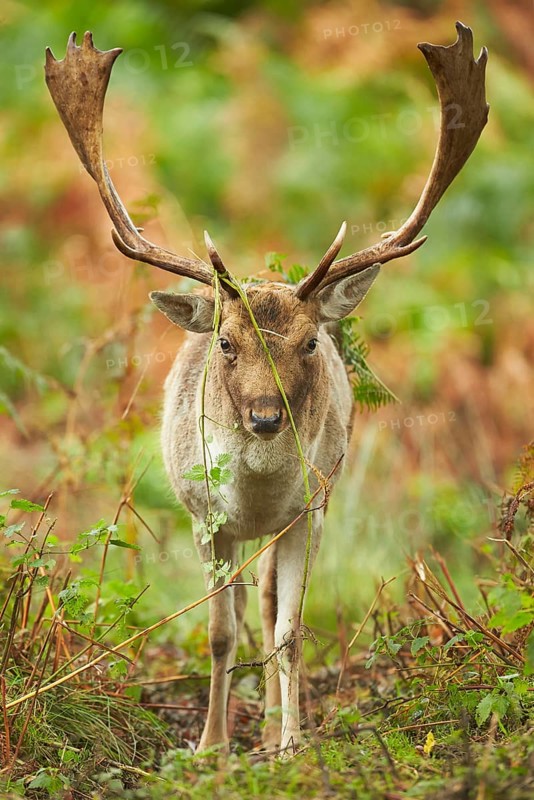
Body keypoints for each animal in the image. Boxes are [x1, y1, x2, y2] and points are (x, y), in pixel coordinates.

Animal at [45, 22, 488, 754]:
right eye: (227, 343)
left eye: (309, 343)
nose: (262, 418)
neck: (250, 493)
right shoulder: (204, 516)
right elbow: (220, 632)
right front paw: (211, 745)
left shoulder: (309, 511)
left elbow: (288, 633)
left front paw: (288, 744)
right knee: (247, 605)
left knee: (274, 605)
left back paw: (280, 725)